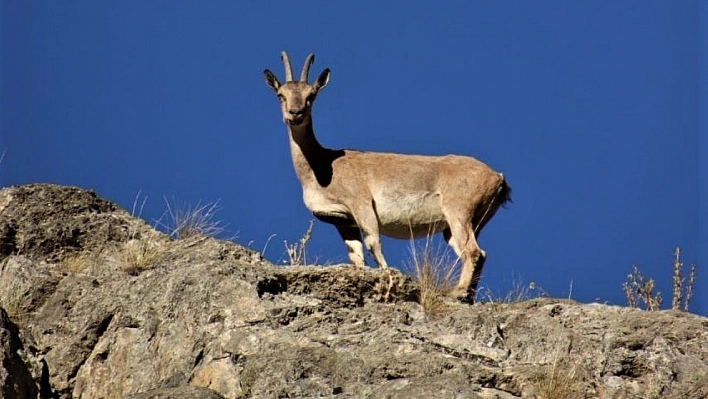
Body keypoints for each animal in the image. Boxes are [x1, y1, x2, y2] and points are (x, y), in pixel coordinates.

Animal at [264, 51, 508, 302]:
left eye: (311, 95)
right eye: (281, 95)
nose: (295, 113)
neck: (321, 166)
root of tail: (497, 178)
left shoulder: (361, 203)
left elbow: (374, 243)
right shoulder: (344, 222)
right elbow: (357, 255)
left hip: (458, 211)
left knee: (473, 251)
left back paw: (458, 292)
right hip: (464, 224)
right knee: (478, 253)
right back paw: (467, 295)